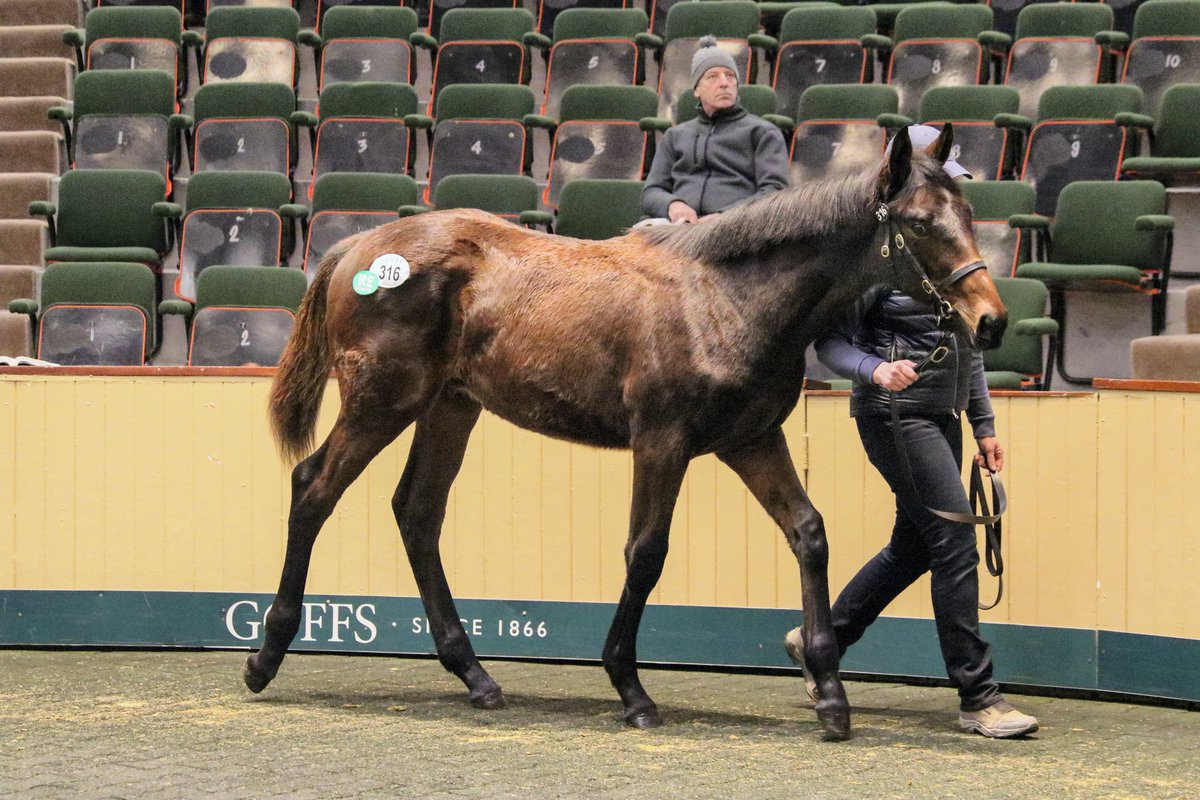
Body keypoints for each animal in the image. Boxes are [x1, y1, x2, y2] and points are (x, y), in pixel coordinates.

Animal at [243, 125, 1007, 741]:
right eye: (920, 222)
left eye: (969, 214)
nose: (991, 321)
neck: (724, 298)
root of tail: (358, 245)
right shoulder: (662, 442)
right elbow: (646, 553)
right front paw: (631, 688)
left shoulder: (752, 441)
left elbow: (808, 533)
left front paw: (829, 693)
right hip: (382, 401)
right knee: (315, 487)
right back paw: (265, 656)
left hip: (449, 407)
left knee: (417, 512)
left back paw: (476, 676)